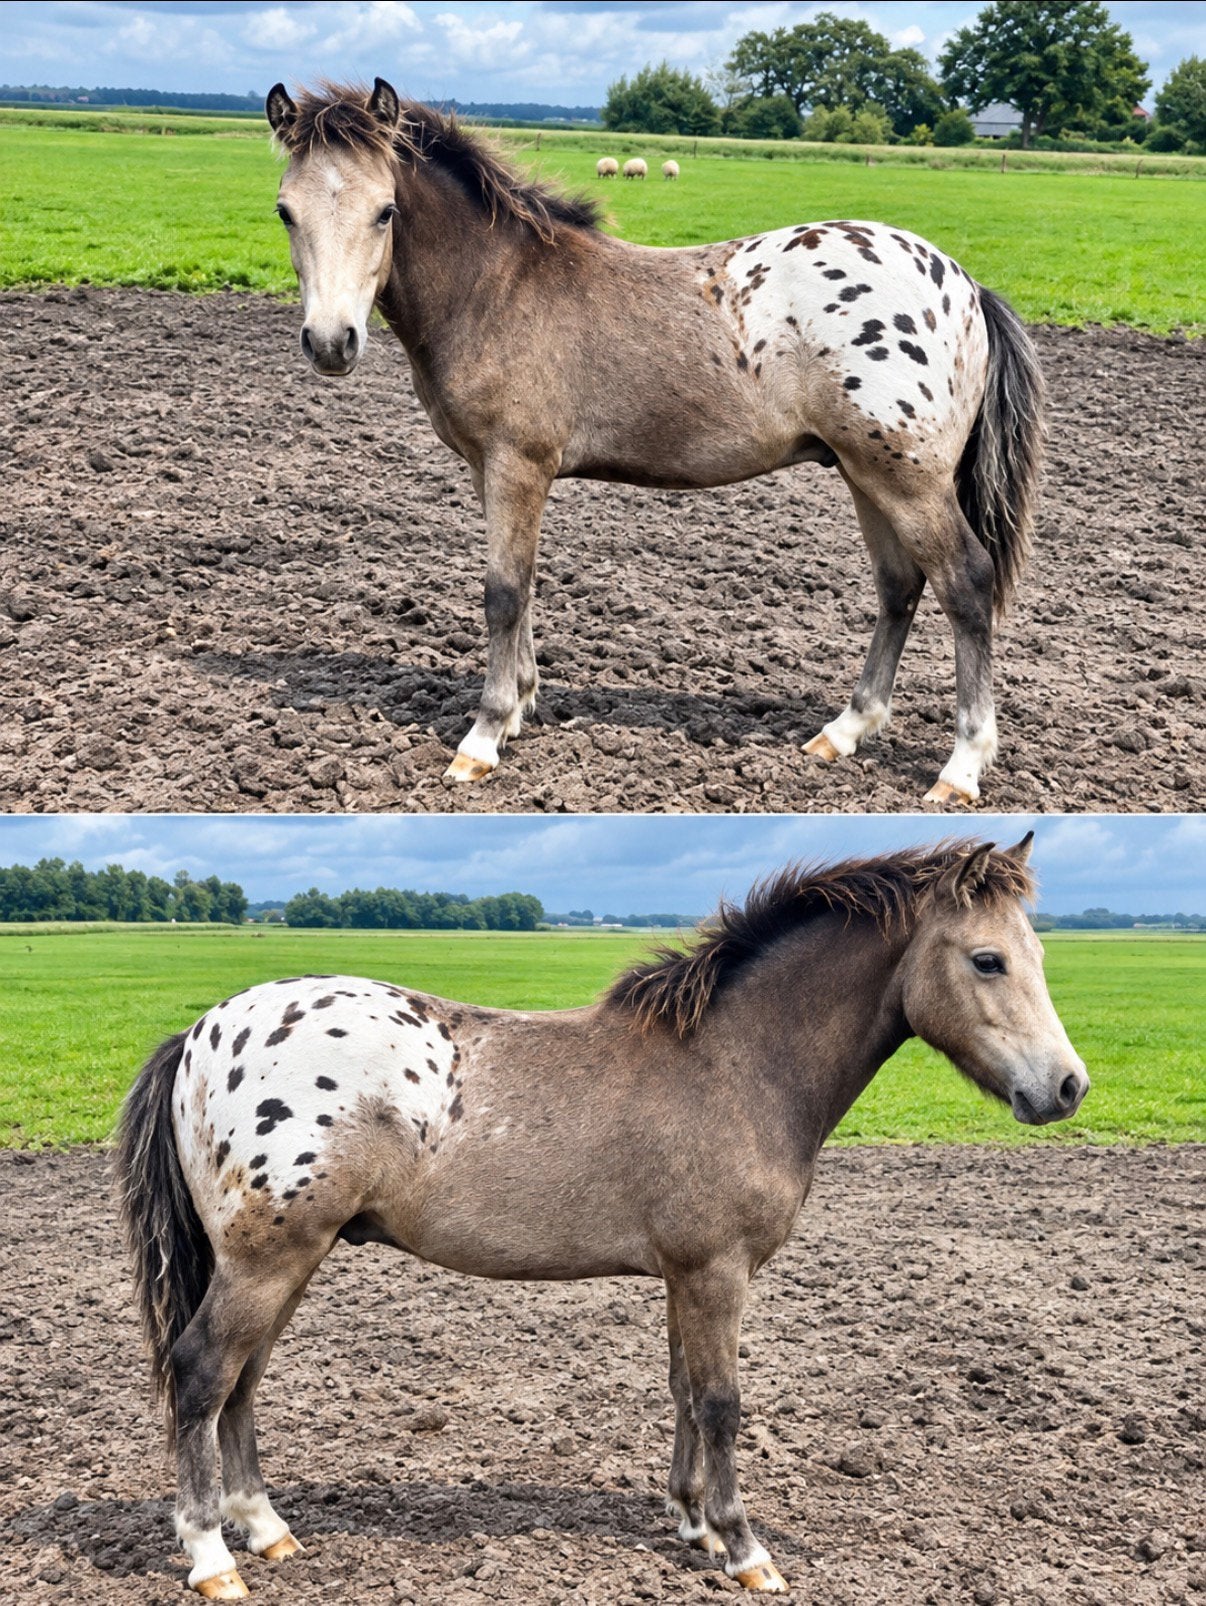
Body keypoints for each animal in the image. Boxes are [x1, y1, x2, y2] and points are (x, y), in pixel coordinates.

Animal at [116, 833, 1087, 1599]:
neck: (736, 1063)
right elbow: (722, 1403)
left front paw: (691, 1523)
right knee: (202, 1373)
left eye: (1041, 957)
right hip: (267, 1259)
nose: (1068, 1088)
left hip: (289, 1261)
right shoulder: (716, 1273)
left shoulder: (685, 1276)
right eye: (988, 960)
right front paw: (745, 1550)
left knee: (241, 1380)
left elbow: (684, 1391)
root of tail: (202, 1033)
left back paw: (267, 1530)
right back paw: (213, 1558)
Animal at [263, 79, 1045, 806]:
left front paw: (482, 739)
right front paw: (519, 709)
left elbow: (503, 592)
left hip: (908, 478)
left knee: (966, 583)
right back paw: (843, 733)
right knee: (899, 586)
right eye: (284, 211)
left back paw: (960, 768)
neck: (495, 286)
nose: (331, 343)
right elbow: (526, 584)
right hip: (864, 472)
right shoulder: (493, 470)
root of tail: (967, 288)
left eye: (385, 210)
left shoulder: (518, 465)